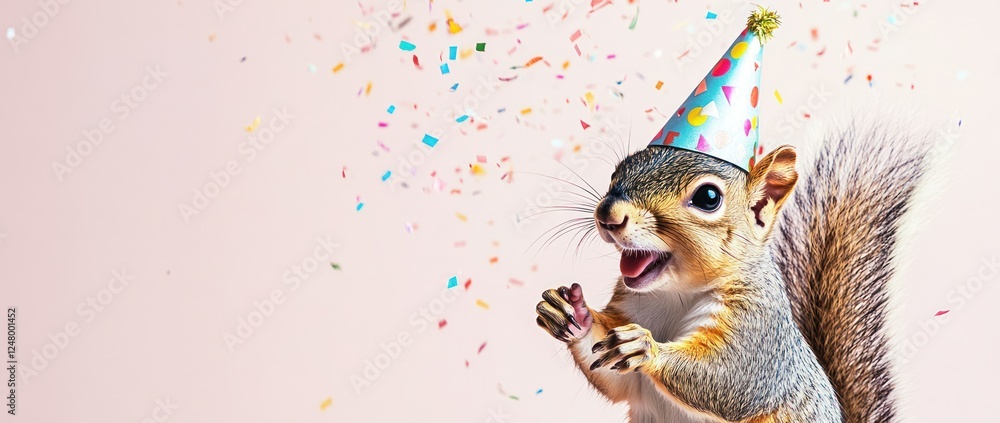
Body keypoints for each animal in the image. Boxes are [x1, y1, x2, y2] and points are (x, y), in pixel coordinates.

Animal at [534, 120, 931, 422]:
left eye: (708, 198)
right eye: (618, 171)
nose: (609, 214)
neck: (675, 294)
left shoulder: (759, 332)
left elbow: (731, 380)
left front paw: (644, 347)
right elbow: (615, 378)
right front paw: (572, 312)